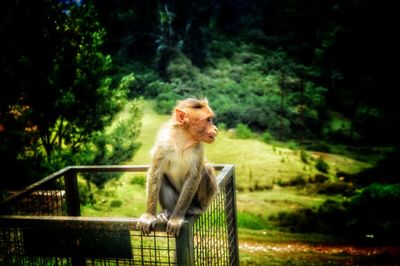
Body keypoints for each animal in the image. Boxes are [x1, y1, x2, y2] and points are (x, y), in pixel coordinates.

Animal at [138, 97, 219, 237]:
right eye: (208, 120)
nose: (215, 129)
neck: (183, 140)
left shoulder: (198, 149)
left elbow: (193, 177)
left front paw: (176, 219)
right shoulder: (163, 144)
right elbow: (155, 173)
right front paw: (149, 216)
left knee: (205, 169)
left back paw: (198, 208)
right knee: (162, 178)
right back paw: (166, 212)